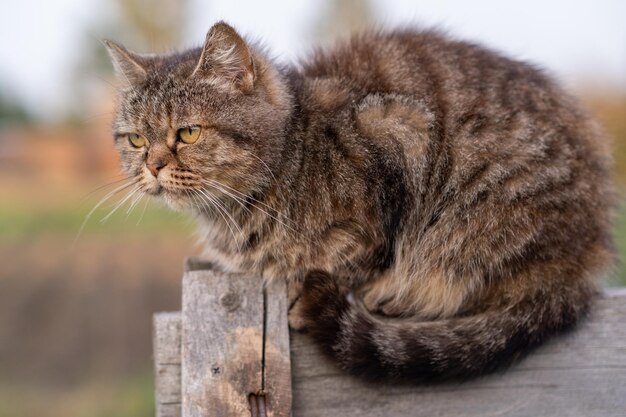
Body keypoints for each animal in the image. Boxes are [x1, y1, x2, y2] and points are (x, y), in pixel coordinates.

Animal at [105, 22, 612, 380]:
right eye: (135, 140)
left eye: (188, 132)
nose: (152, 165)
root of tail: (583, 263)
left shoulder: (395, 136)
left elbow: (353, 255)